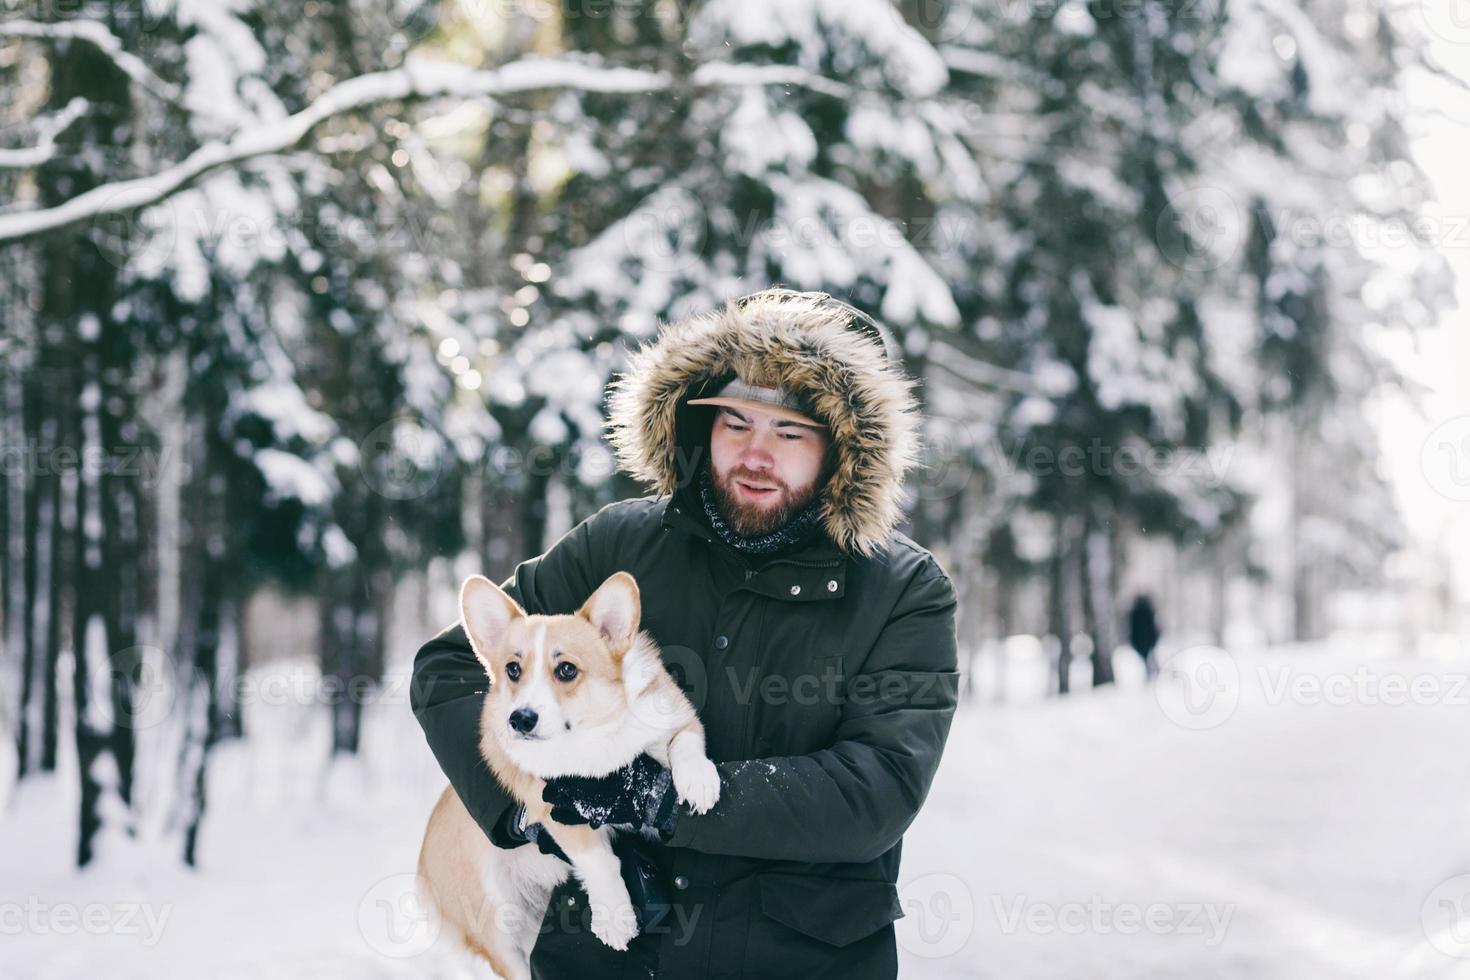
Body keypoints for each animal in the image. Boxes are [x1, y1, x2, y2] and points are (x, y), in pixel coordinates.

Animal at [417, 570, 720, 975]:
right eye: (513, 669)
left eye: (566, 670)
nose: (520, 719)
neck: (595, 734)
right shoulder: (553, 805)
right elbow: (599, 861)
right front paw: (615, 917)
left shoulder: (678, 721)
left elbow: (685, 745)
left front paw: (698, 781)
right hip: (501, 934)